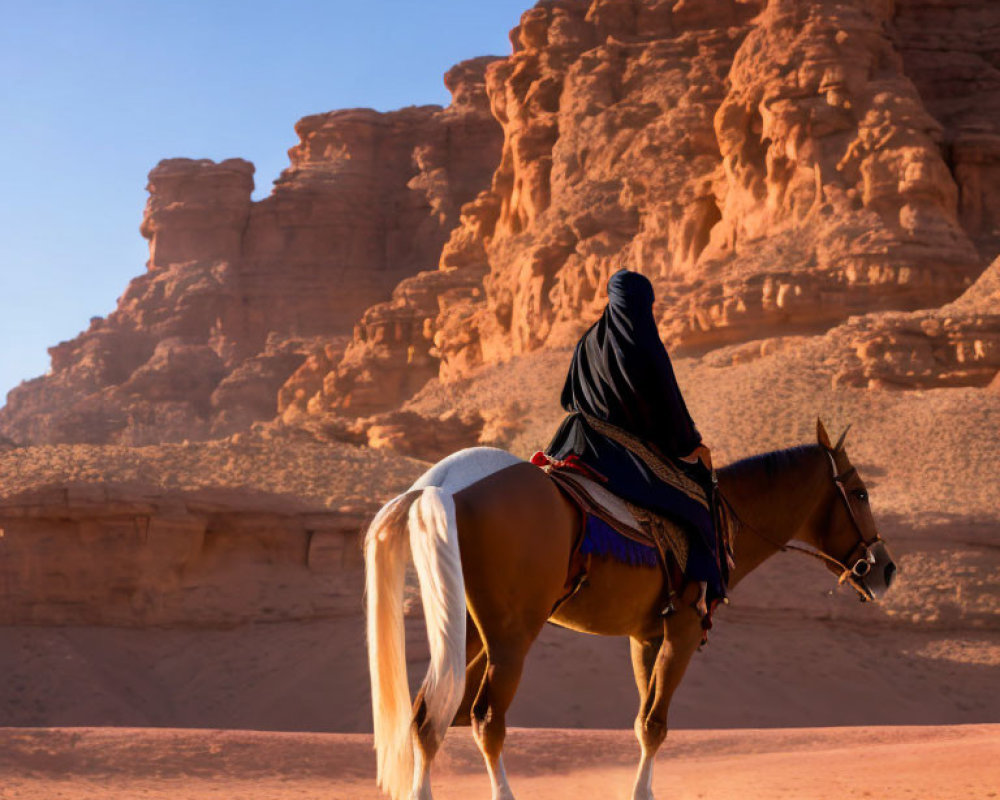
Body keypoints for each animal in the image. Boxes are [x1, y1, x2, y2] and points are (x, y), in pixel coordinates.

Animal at [364, 422, 896, 796]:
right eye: (861, 492)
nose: (885, 569)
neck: (723, 519)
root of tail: (442, 485)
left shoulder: (646, 637)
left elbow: (642, 724)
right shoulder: (682, 630)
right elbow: (655, 726)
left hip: (468, 629)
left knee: (427, 717)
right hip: (511, 636)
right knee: (484, 721)